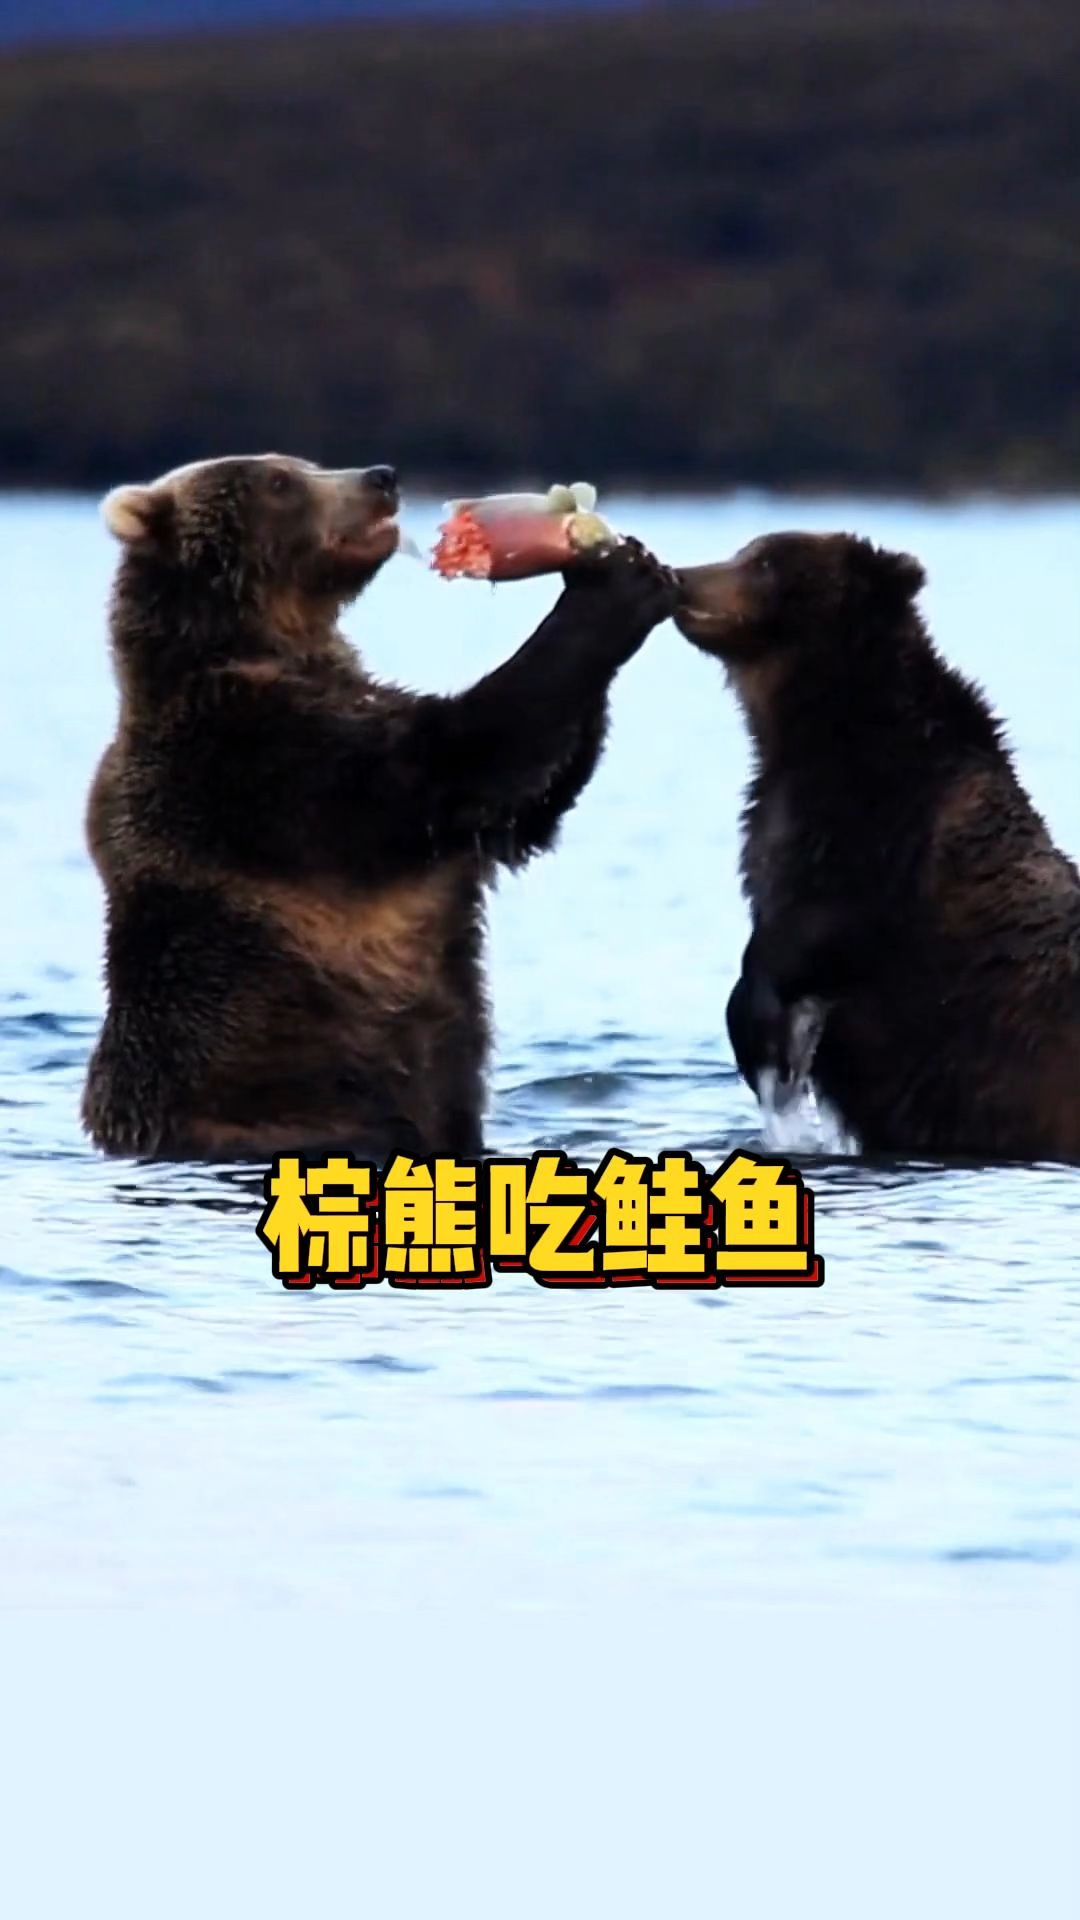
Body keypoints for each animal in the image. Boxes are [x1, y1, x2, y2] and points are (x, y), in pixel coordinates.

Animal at [83, 454, 677, 1160]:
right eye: (278, 482)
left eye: (306, 464)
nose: (380, 476)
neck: (256, 641)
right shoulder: (252, 761)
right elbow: (449, 765)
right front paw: (609, 587)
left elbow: (522, 808)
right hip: (285, 1096)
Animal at [675, 531, 1080, 1161]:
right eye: (744, 550)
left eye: (764, 562)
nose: (682, 577)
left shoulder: (886, 836)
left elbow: (820, 929)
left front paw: (766, 1043)